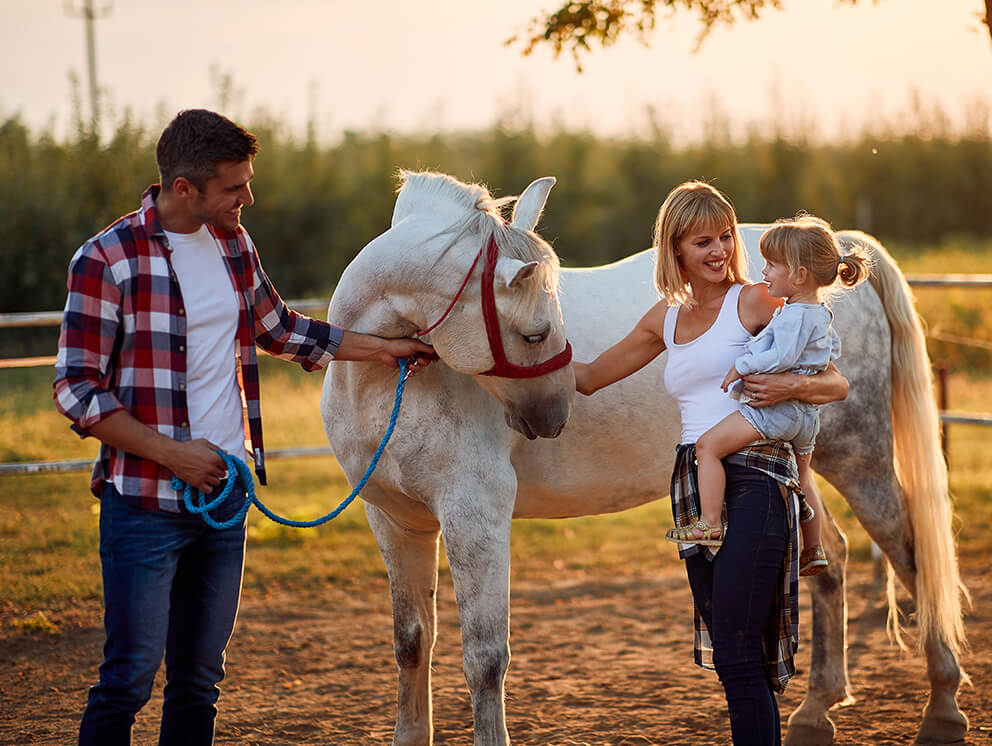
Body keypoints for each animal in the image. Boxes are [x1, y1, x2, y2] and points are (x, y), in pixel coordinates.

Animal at [320, 170, 968, 744]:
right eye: (536, 333)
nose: (553, 416)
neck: (388, 382)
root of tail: (839, 249)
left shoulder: (473, 516)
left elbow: (485, 658)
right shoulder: (396, 521)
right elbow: (411, 643)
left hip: (860, 460)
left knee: (913, 558)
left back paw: (942, 708)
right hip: (795, 465)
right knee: (828, 558)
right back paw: (816, 712)